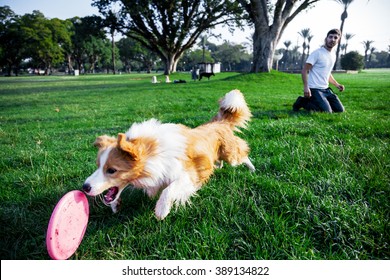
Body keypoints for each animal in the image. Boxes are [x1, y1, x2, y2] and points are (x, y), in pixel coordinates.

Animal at [82, 89, 256, 219]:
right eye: (98, 166)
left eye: (112, 170)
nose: (85, 187)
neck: (152, 153)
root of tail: (219, 122)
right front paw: (115, 205)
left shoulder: (188, 174)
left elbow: (169, 189)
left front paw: (161, 210)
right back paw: (218, 166)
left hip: (231, 155)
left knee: (243, 153)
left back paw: (252, 169)